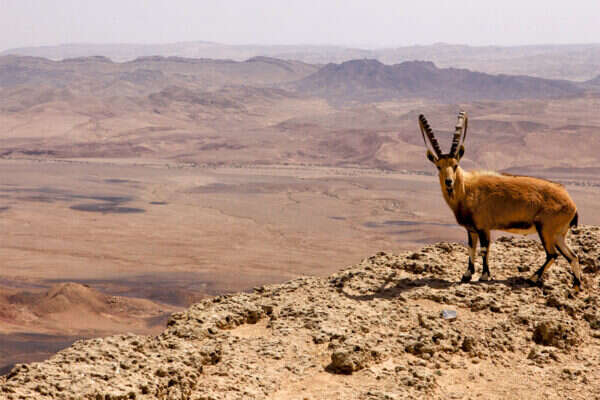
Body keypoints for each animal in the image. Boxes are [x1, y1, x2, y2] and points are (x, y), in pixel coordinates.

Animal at [418, 112, 582, 290]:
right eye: (438, 166)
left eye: (455, 165)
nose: (449, 182)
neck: (467, 190)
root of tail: (571, 203)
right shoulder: (472, 229)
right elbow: (471, 249)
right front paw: (467, 275)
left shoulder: (483, 227)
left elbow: (484, 249)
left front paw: (484, 276)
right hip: (558, 234)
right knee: (572, 256)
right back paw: (576, 285)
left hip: (546, 229)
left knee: (552, 254)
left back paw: (532, 278)